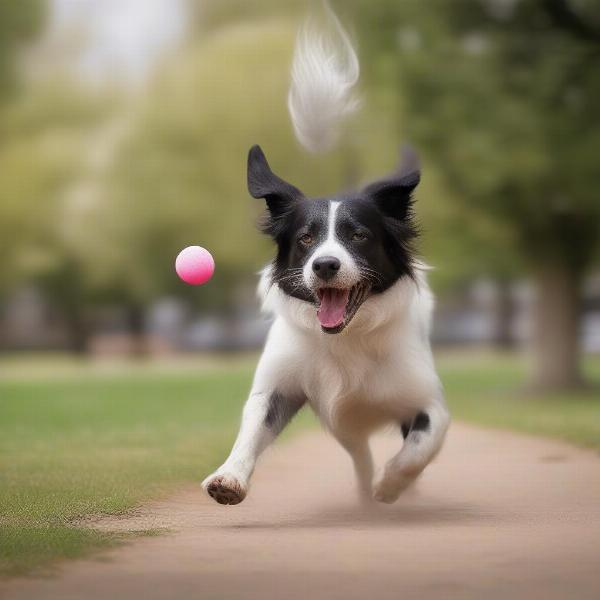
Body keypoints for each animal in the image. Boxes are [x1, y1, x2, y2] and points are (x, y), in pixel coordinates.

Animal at [203, 9, 450, 506]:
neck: (347, 341)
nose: (325, 265)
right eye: (305, 239)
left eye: (358, 235)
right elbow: (251, 428)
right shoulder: (280, 386)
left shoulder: (426, 402)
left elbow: (418, 449)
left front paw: (392, 487)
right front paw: (228, 478)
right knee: (359, 454)